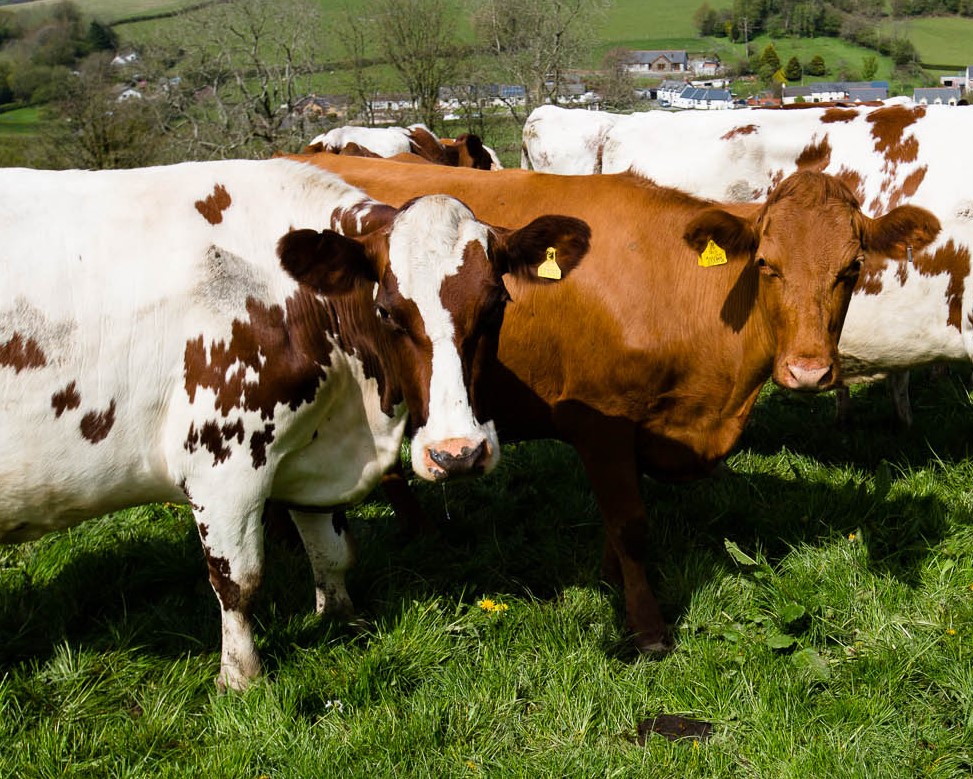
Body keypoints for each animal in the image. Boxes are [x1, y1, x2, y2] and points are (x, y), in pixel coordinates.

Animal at [0, 158, 590, 690]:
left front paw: (341, 618)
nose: (457, 453)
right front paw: (241, 678)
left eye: (495, 305)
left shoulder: (314, 450)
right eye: (388, 311)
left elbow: (333, 551)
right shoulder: (221, 463)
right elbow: (238, 581)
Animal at [282, 153, 942, 654]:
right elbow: (631, 524)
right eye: (766, 264)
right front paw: (647, 627)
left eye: (852, 267)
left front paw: (611, 579)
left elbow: (617, 520)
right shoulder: (598, 423)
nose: (808, 369)